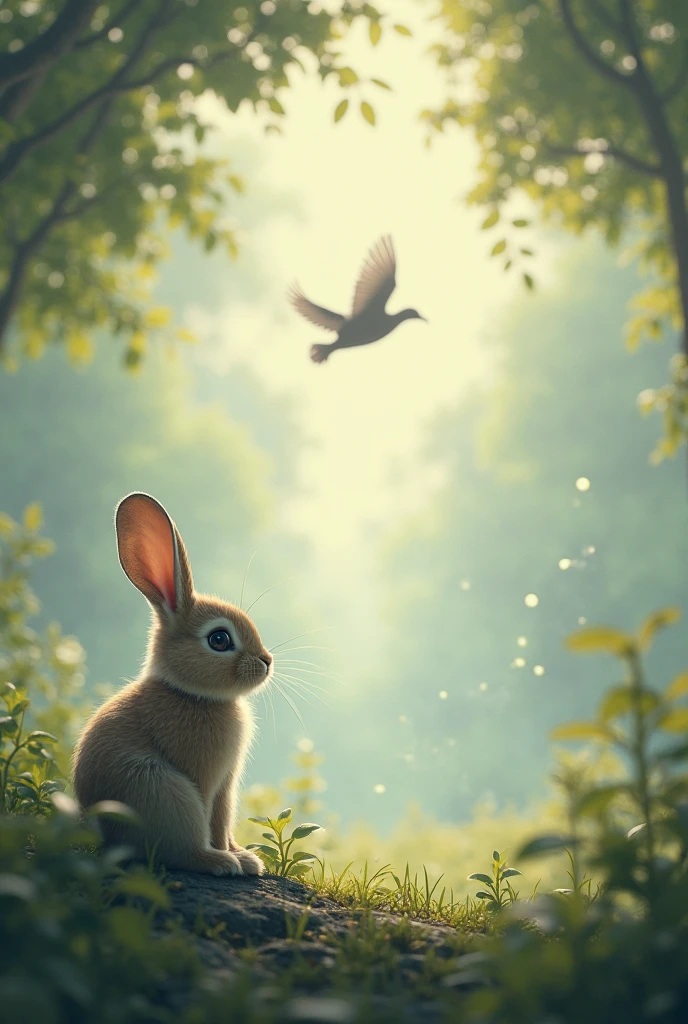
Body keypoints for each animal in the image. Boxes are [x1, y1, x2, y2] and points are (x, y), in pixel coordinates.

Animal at [72, 492, 273, 877]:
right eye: (220, 639)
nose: (267, 662)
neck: (193, 695)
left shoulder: (227, 784)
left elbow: (224, 820)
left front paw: (247, 857)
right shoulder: (205, 775)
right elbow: (213, 820)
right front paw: (236, 860)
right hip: (165, 792)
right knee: (180, 851)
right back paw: (217, 861)